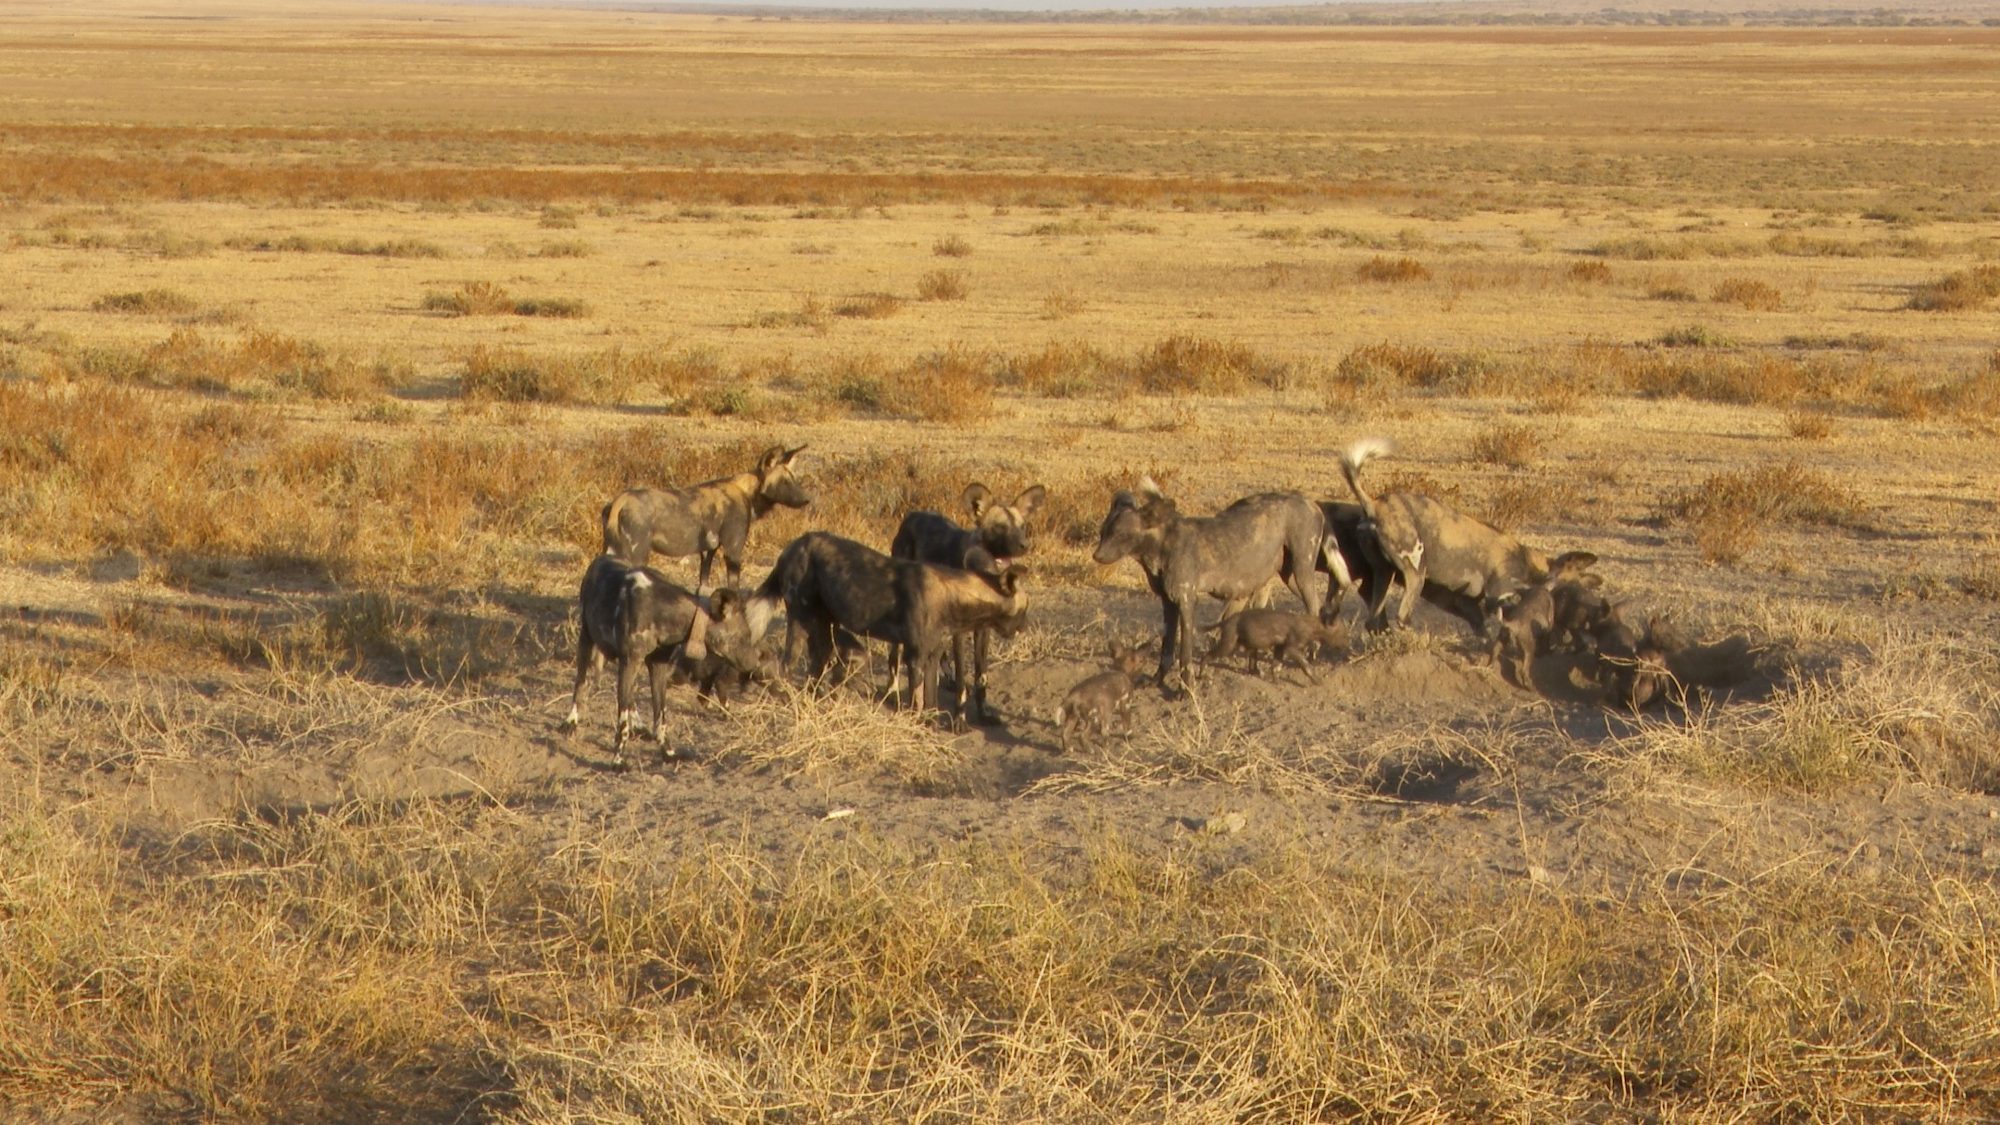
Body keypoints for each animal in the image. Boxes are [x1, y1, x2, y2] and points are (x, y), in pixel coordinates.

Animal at [564, 552, 764, 760]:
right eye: (744, 636)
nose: (755, 663)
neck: (663, 612)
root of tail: (602, 557)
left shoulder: (657, 665)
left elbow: (660, 714)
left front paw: (667, 751)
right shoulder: (631, 660)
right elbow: (622, 721)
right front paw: (618, 759)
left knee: (630, 693)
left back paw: (638, 725)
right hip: (587, 642)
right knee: (581, 682)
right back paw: (571, 722)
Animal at [596, 442, 808, 592]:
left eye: (794, 480)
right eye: (784, 482)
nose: (806, 499)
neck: (747, 492)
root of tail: (621, 500)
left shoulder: (707, 552)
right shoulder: (733, 552)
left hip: (611, 551)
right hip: (637, 555)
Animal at [892, 476, 1048, 720]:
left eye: (1022, 527)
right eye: (1000, 527)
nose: (1025, 545)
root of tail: (912, 515)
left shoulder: (983, 630)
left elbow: (981, 676)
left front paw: (984, 713)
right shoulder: (960, 633)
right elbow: (963, 679)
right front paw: (960, 720)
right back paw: (892, 690)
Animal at [1096, 480, 1328, 692]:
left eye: (1121, 534)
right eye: (1103, 532)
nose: (1097, 556)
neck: (1160, 546)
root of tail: (1311, 502)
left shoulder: (1187, 600)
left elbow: (1185, 653)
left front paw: (1186, 689)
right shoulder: (1168, 603)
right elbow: (1167, 650)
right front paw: (1157, 681)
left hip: (1302, 572)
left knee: (1314, 607)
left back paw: (1309, 655)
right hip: (1287, 577)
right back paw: (1255, 667)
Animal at [1200, 608, 1344, 680]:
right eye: (1343, 633)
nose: (1346, 643)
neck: (1311, 625)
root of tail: (1227, 620)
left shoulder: (1279, 647)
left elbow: (1276, 665)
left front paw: (1276, 680)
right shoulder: (1291, 648)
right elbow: (1306, 665)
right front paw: (1316, 680)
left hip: (1248, 646)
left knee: (1251, 663)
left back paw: (1256, 672)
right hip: (1228, 645)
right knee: (1207, 655)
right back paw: (1201, 675)